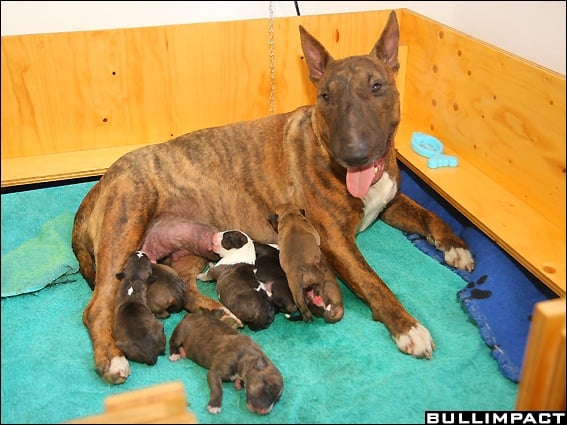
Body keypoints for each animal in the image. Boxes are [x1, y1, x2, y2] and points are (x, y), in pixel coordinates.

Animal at [73, 12, 478, 384]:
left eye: (377, 86)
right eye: (325, 96)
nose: (354, 153)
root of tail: (100, 184)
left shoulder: (389, 202)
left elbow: (430, 215)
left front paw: (455, 246)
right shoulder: (335, 240)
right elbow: (373, 281)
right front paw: (407, 327)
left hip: (186, 245)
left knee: (187, 286)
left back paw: (217, 312)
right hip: (126, 226)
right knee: (98, 306)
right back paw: (112, 358)